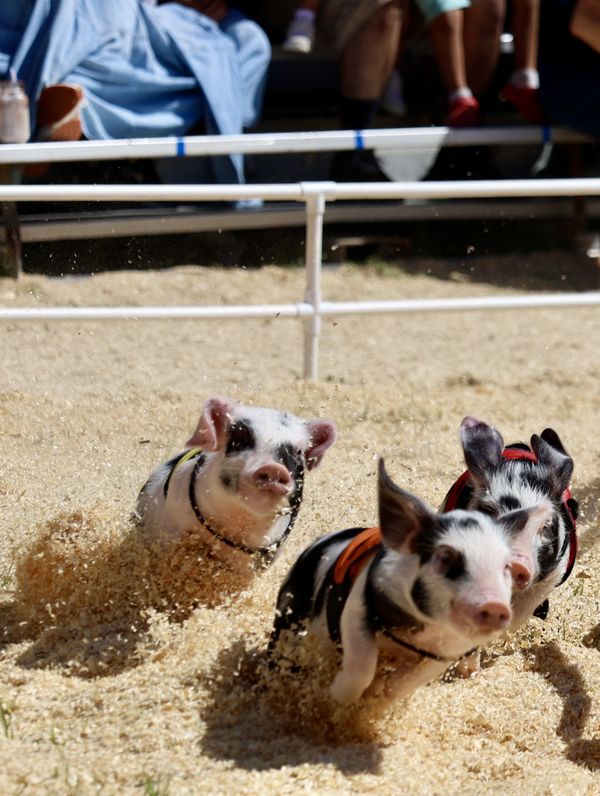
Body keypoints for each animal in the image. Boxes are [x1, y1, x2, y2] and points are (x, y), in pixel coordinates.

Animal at [269, 458, 552, 704]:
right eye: (446, 558)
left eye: (506, 567)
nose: (495, 605)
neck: (426, 630)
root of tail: (319, 541)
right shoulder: (358, 607)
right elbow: (362, 664)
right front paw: (337, 696)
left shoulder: (447, 652)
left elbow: (409, 681)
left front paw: (380, 696)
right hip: (291, 608)